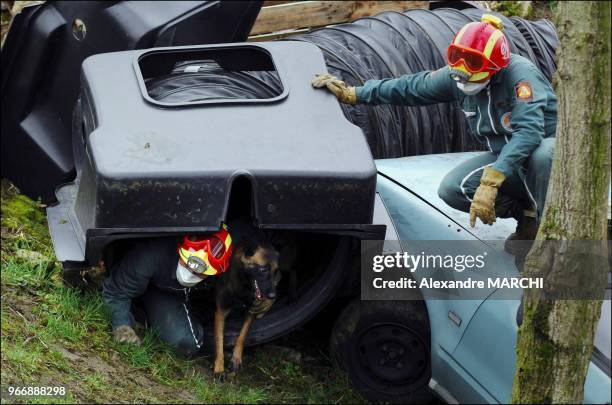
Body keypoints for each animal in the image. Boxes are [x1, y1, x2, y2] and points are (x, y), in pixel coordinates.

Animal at [214, 219, 280, 378]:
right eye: (263, 269)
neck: (244, 284)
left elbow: (243, 335)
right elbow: (219, 339)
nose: (272, 296)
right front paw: (219, 367)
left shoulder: (251, 310)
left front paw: (236, 357)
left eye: (275, 271)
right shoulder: (221, 311)